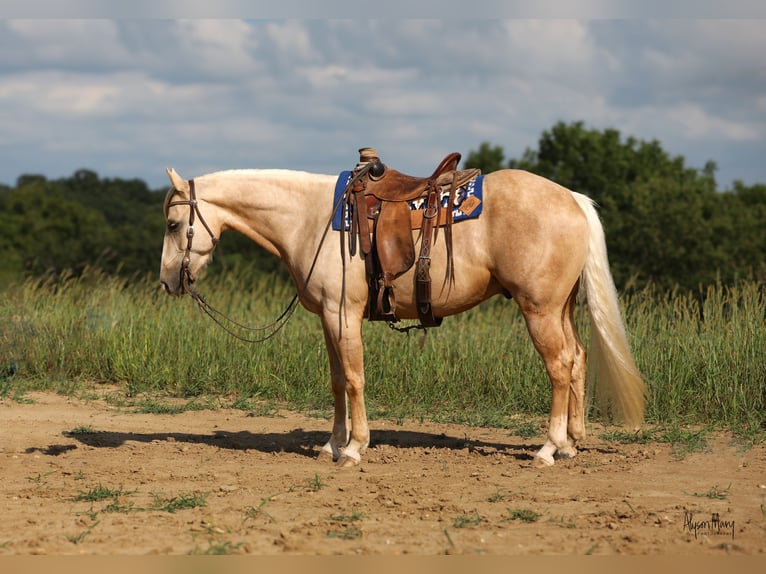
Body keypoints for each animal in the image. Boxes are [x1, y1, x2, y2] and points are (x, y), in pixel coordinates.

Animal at [160, 162, 648, 468]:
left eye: (172, 224)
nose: (167, 282)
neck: (311, 219)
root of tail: (572, 198)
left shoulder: (344, 314)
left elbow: (354, 378)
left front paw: (354, 448)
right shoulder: (327, 319)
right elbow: (336, 382)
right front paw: (331, 444)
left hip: (540, 310)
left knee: (560, 366)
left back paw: (549, 448)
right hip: (560, 308)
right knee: (578, 358)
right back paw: (571, 444)